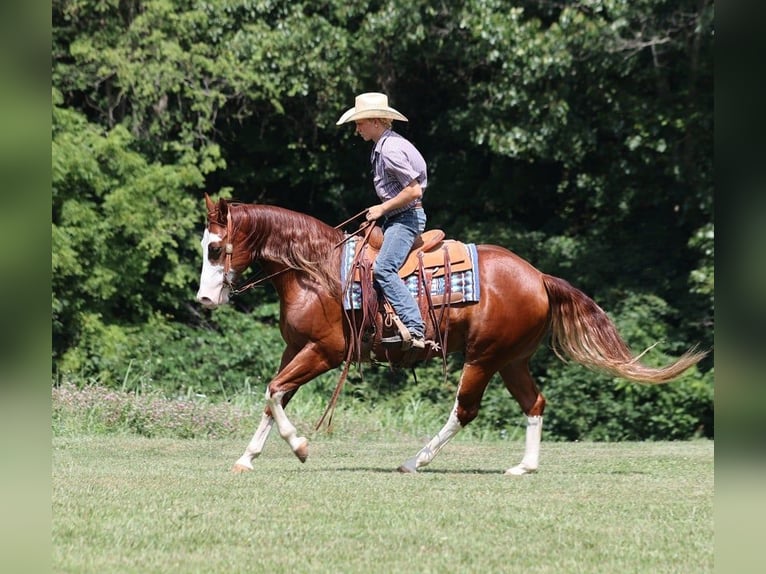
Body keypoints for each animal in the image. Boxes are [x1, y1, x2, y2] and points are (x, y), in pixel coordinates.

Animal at [195, 194, 707, 475]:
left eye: (215, 248)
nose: (203, 299)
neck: (316, 271)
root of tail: (539, 277)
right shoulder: (296, 348)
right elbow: (273, 395)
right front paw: (247, 457)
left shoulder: (325, 351)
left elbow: (274, 391)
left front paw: (300, 447)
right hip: (511, 359)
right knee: (534, 403)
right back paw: (524, 466)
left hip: (482, 358)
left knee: (465, 410)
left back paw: (414, 461)